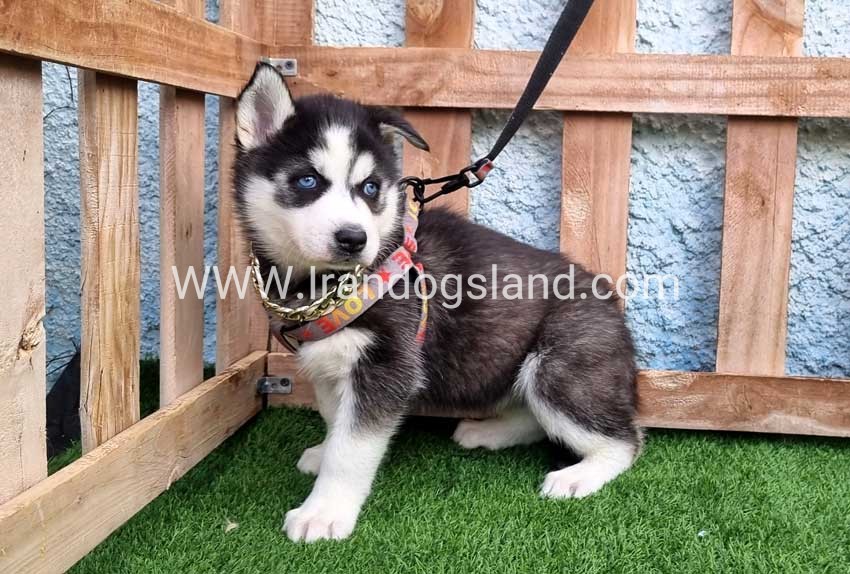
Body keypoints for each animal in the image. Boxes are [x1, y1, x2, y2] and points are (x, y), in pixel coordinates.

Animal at [233, 63, 641, 542]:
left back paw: (579, 475)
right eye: (307, 180)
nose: (354, 238)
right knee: (536, 417)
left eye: (370, 187)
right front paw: (323, 454)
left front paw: (324, 512)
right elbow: (337, 421)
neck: (319, 285)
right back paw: (488, 432)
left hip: (560, 367)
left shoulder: (388, 364)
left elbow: (351, 448)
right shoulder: (331, 363)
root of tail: (609, 302)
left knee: (625, 441)